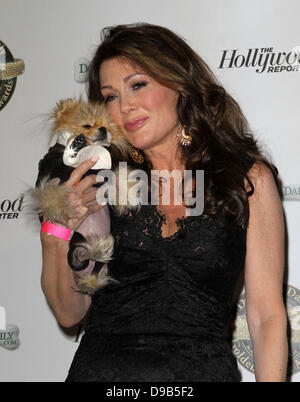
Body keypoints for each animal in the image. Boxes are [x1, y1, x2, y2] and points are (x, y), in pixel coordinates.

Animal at [27, 96, 140, 294]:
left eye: (106, 126)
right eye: (86, 125)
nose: (103, 130)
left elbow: (114, 174)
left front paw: (127, 193)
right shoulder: (62, 171)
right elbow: (105, 173)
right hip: (77, 238)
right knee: (81, 254)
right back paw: (95, 251)